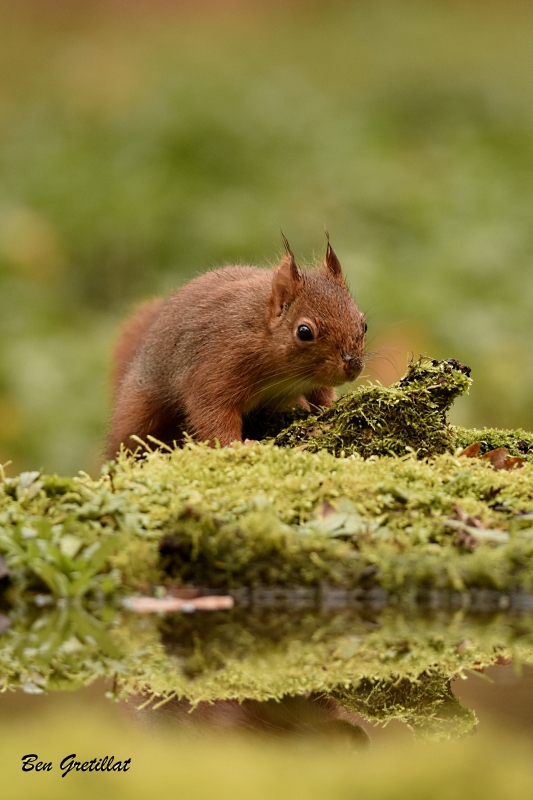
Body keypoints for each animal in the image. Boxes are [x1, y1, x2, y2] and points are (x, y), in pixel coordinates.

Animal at [108, 236, 366, 456]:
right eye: (304, 332)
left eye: (364, 324)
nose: (353, 366)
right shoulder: (219, 363)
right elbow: (211, 411)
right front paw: (235, 446)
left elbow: (321, 395)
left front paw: (330, 406)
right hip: (140, 412)